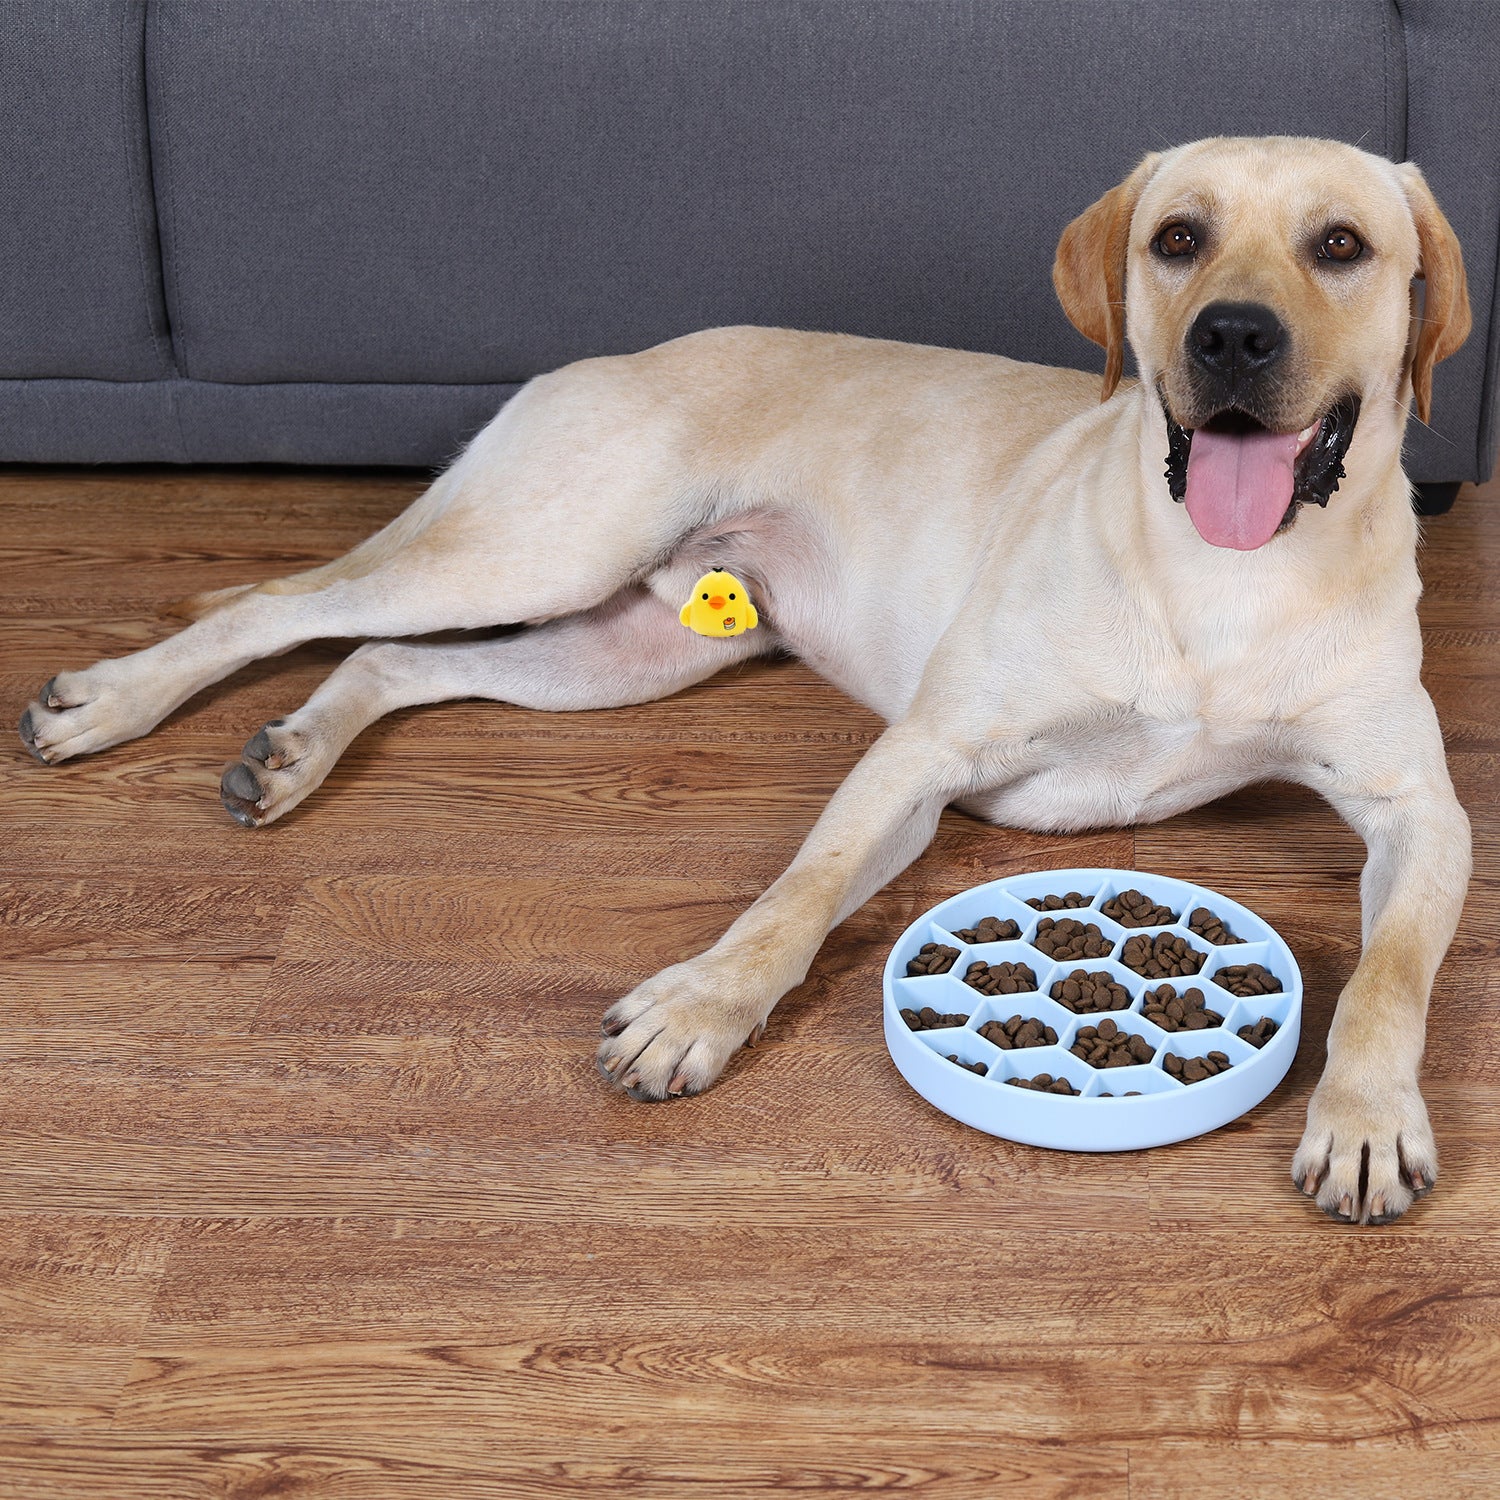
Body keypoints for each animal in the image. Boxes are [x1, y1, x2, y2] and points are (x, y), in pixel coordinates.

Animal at [26, 135, 1476, 1224]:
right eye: (1177, 239)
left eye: (1340, 247)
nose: (1232, 338)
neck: (1227, 577)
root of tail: (601, 358)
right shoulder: (926, 751)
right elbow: (801, 891)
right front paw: (702, 1008)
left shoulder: (1422, 814)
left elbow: (1393, 972)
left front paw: (1364, 1116)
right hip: (543, 544)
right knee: (285, 606)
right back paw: (116, 702)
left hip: (625, 650)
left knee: (385, 658)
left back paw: (292, 754)